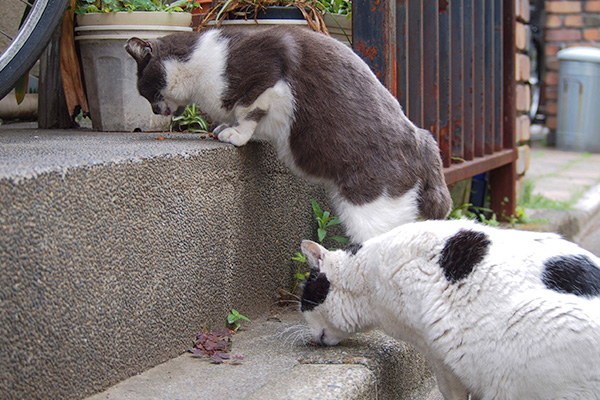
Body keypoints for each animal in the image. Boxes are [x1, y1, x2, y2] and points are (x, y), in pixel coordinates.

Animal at [125, 27, 450, 244]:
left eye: (144, 91)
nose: (155, 110)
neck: (200, 64)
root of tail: (423, 140)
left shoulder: (269, 73)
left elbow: (249, 110)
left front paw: (235, 133)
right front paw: (221, 128)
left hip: (372, 211)